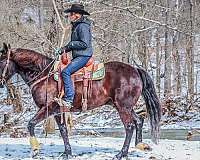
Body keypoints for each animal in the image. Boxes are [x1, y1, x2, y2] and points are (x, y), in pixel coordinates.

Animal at [0, 43, 161, 159]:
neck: (44, 75)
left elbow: (31, 124)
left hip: (123, 108)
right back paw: (139, 145)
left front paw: (34, 150)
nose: (0, 83)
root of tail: (135, 70)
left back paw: (121, 154)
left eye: (1, 62)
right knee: (138, 121)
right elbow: (63, 130)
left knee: (129, 127)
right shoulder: (58, 111)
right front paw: (67, 153)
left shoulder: (47, 108)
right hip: (125, 107)